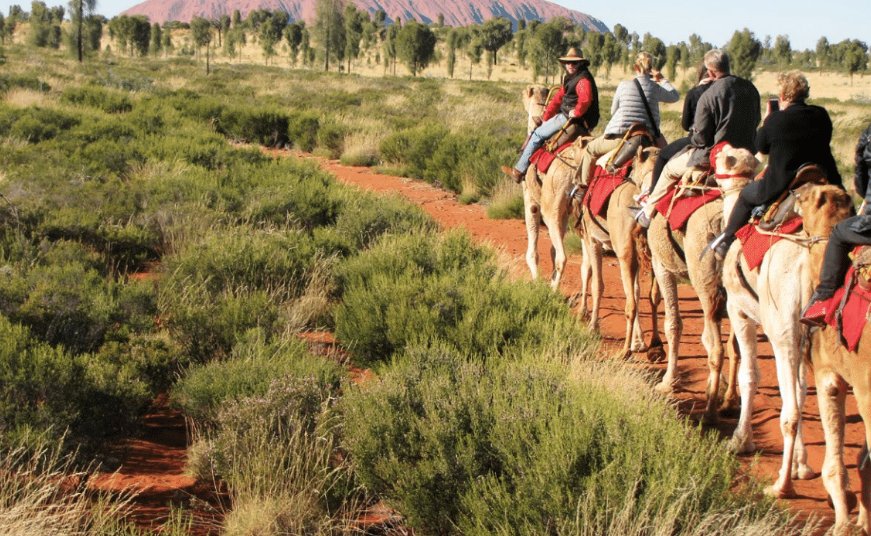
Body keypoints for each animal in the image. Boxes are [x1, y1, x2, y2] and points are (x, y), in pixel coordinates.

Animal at [718, 152, 822, 497]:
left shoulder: (739, 311)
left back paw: (781, 485)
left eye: (724, 158)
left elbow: (749, 376)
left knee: (790, 411)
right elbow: (801, 391)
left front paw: (740, 441)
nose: (708, 161)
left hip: (782, 331)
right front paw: (803, 465)